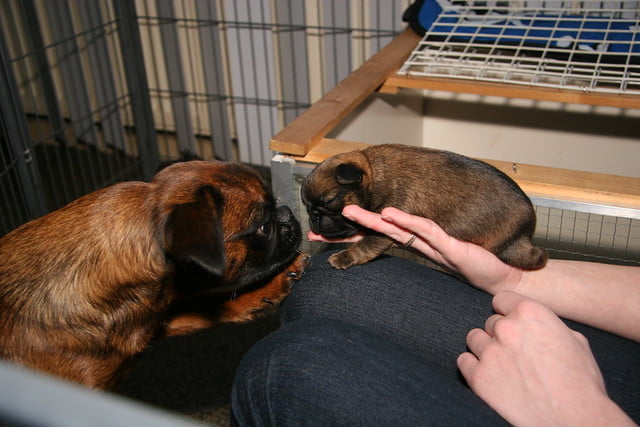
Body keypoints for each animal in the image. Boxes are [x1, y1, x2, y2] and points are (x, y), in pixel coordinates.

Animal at [302, 144, 548, 270]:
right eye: (307, 207)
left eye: (330, 201)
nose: (313, 219)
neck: (374, 175)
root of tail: (527, 233)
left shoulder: (386, 222)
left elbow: (367, 244)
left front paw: (345, 257)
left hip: (506, 246)